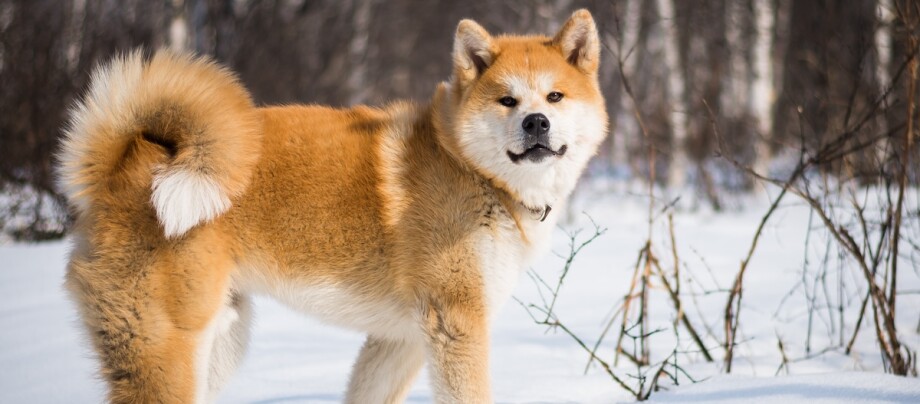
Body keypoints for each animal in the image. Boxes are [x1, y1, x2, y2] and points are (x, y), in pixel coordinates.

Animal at [59, 10, 612, 404]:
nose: (537, 123)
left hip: (219, 345)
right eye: (507, 101)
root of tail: (121, 161)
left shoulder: (400, 339)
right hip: (169, 352)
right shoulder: (455, 324)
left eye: (555, 96)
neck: (469, 168)